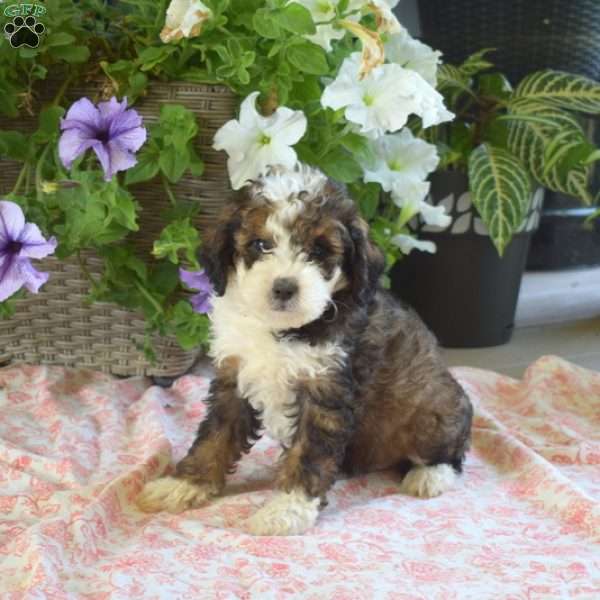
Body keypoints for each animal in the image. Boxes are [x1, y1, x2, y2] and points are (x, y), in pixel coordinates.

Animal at [137, 163, 474, 536]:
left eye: (319, 251)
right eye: (260, 244)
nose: (284, 288)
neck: (283, 330)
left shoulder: (325, 394)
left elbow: (308, 455)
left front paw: (286, 509)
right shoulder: (234, 378)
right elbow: (214, 437)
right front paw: (183, 485)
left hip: (432, 409)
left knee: (451, 449)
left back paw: (430, 475)